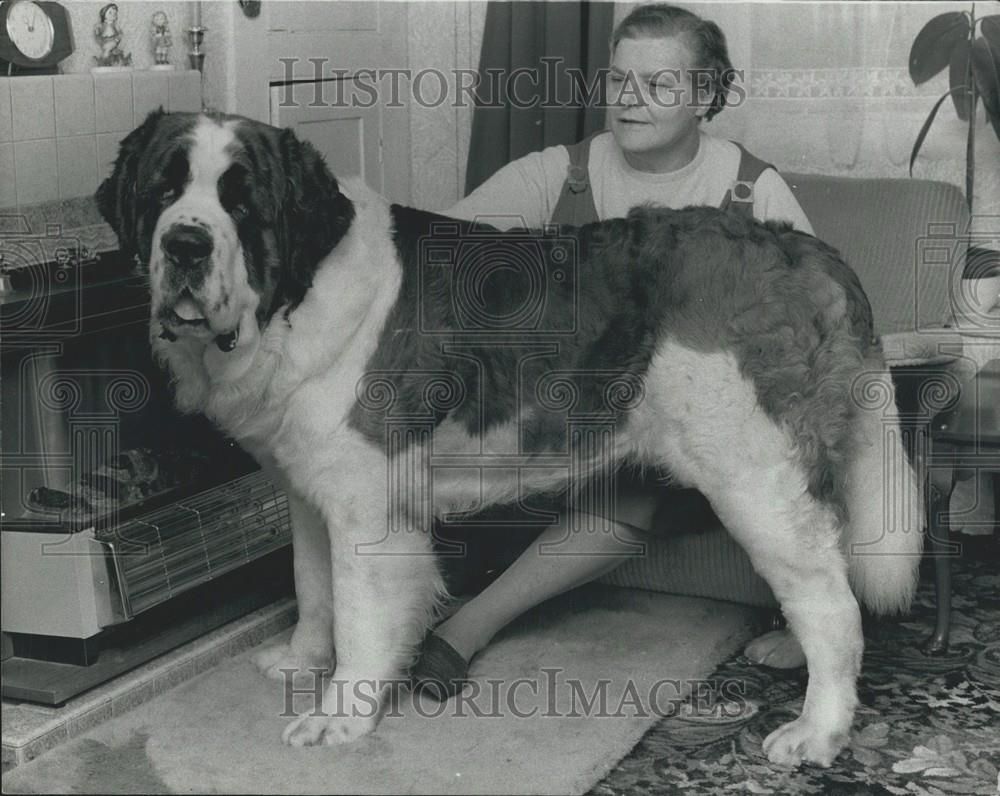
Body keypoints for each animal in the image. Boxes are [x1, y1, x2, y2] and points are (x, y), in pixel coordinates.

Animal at [97, 110, 924, 764]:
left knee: (829, 598)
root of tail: (805, 250)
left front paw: (342, 717)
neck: (299, 292)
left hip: (753, 475)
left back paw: (818, 730)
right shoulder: (309, 487)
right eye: (163, 193)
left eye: (242, 204)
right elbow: (311, 585)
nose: (187, 245)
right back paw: (789, 653)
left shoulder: (368, 505)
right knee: (825, 564)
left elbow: (360, 609)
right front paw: (301, 660)